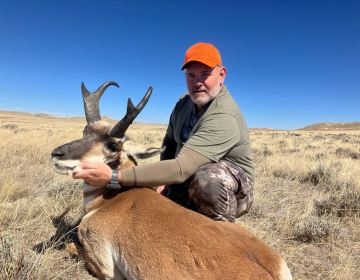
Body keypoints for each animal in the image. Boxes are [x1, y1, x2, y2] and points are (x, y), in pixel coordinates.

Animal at [50, 81, 292, 280]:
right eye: (85, 131)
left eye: (112, 146)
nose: (56, 154)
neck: (112, 199)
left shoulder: (103, 266)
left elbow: (70, 246)